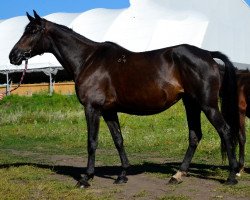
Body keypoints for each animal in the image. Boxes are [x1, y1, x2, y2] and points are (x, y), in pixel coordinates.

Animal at [8, 10, 240, 187]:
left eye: (33, 31)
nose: (13, 56)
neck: (88, 60)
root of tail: (208, 54)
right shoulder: (109, 111)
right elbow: (118, 140)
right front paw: (122, 175)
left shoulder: (92, 108)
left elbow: (92, 141)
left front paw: (86, 178)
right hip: (190, 103)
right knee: (195, 136)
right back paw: (177, 175)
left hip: (207, 105)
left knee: (226, 131)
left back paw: (231, 176)